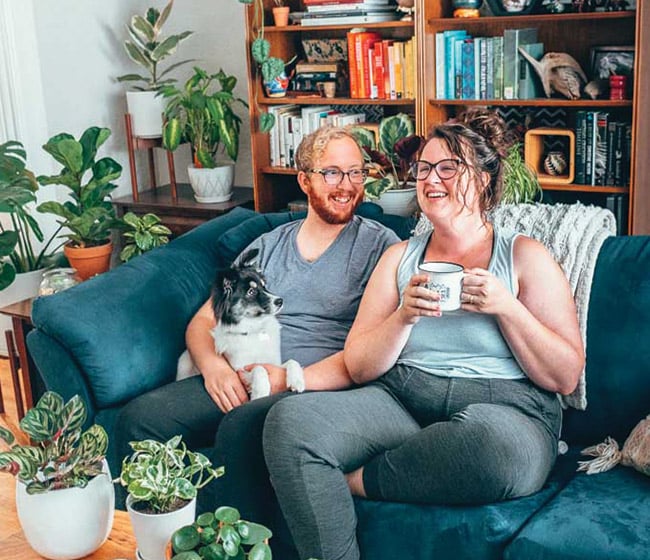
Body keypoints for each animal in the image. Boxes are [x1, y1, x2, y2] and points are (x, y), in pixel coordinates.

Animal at [173, 248, 302, 398]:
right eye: (251, 292)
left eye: (264, 286)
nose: (280, 301)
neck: (254, 329)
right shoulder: (240, 370)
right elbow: (259, 368)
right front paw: (260, 392)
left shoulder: (274, 363)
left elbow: (292, 361)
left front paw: (297, 381)